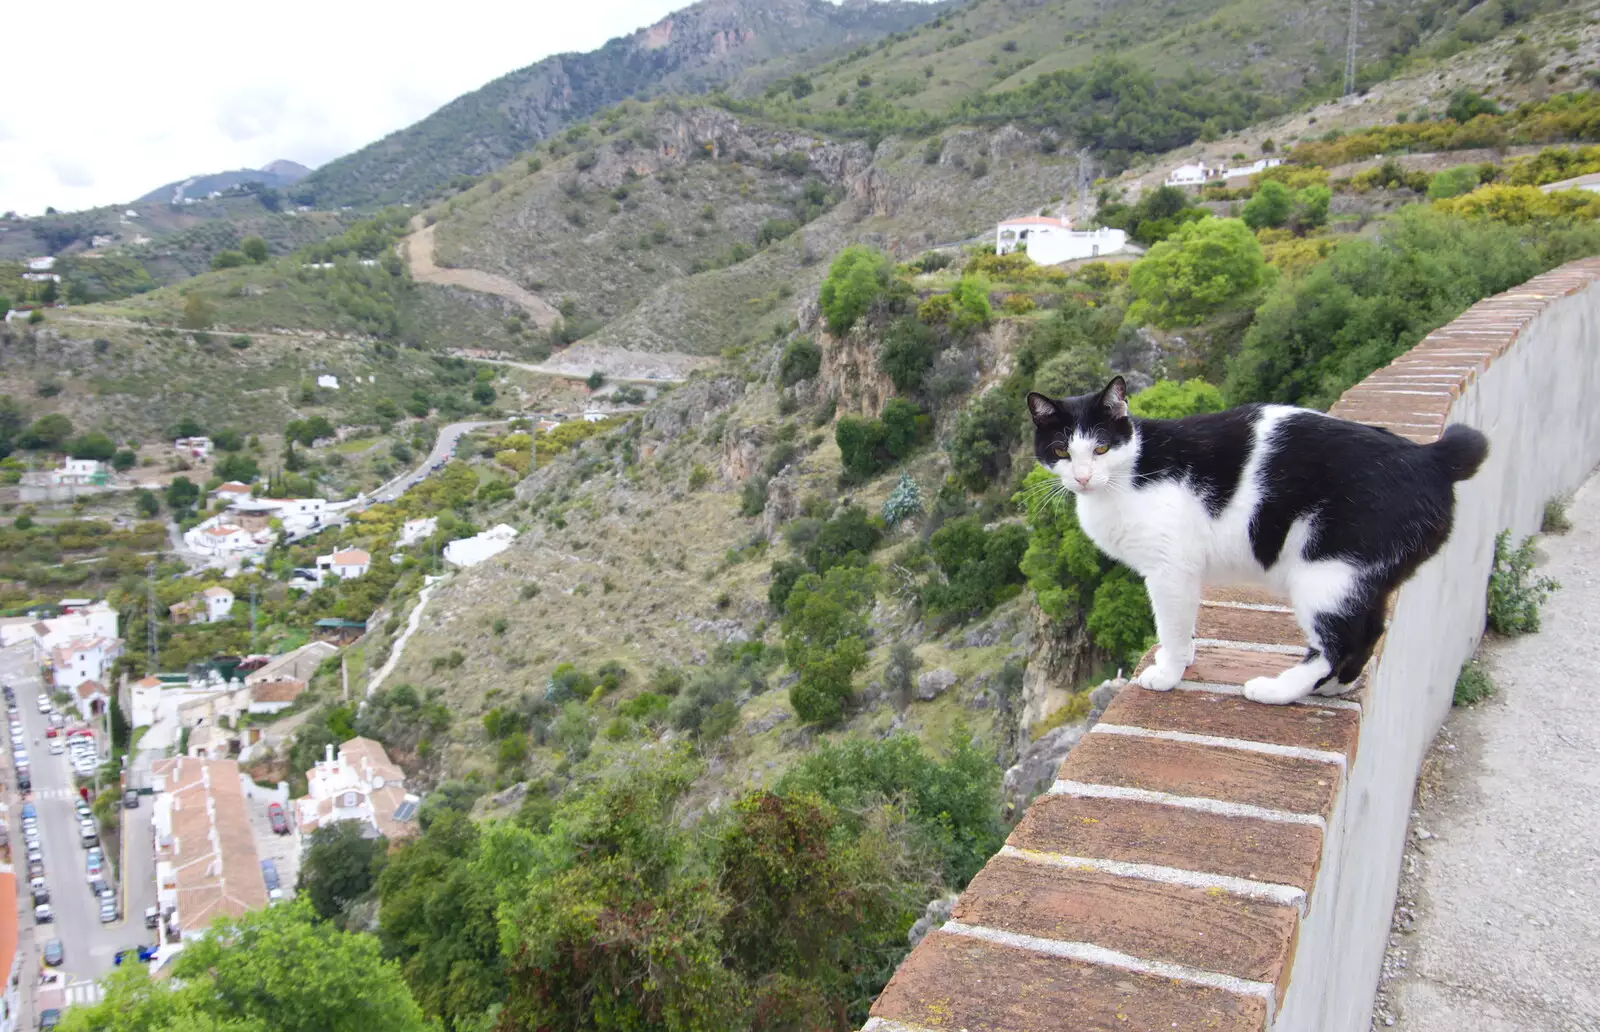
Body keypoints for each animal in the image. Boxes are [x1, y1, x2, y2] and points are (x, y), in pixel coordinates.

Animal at [1030, 382, 1491, 704]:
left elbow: (1171, 624)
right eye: (1061, 451)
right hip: (1365, 576)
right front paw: (1180, 657)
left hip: (1327, 575)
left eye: (1101, 448)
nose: (1082, 477)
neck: (1128, 474)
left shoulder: (1168, 570)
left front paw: (1169, 673)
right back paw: (1333, 688)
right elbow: (1185, 622)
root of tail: (1429, 457)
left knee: (1338, 643)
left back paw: (1278, 690)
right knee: (1371, 632)